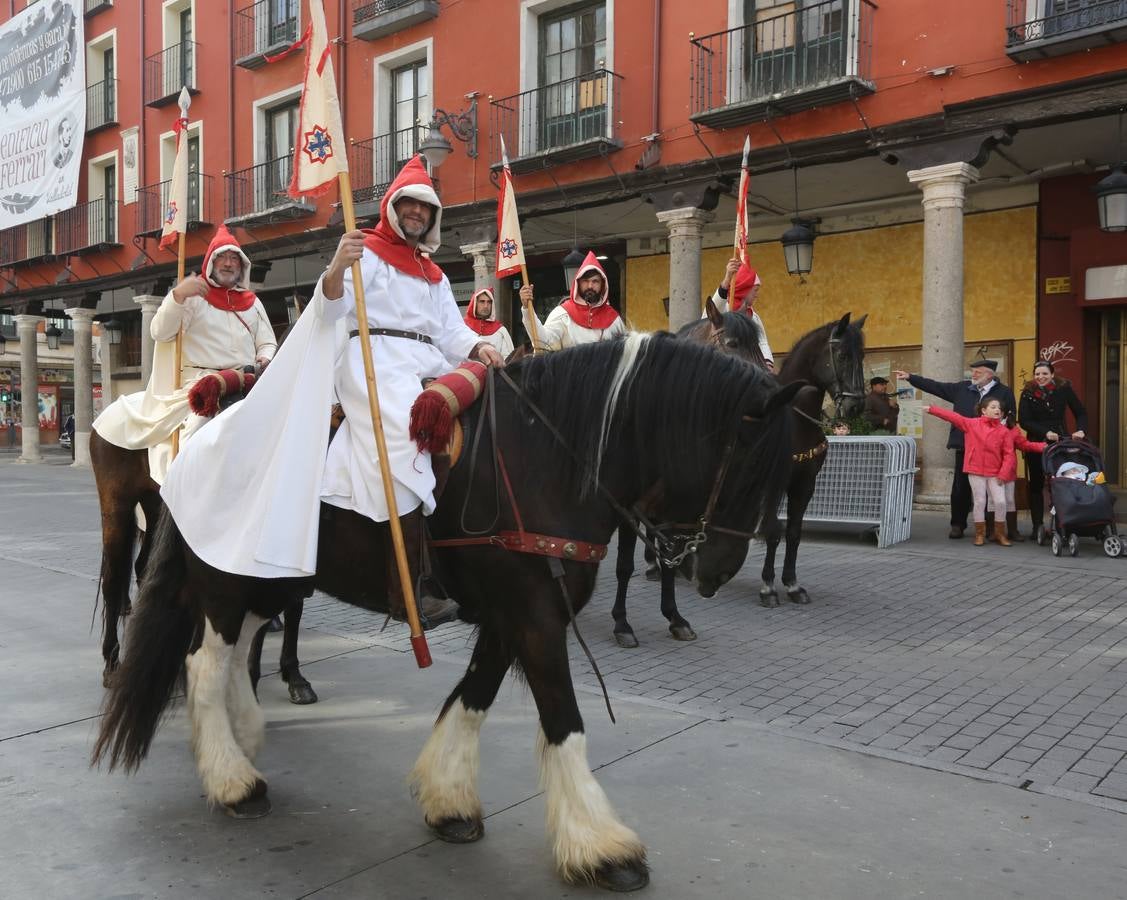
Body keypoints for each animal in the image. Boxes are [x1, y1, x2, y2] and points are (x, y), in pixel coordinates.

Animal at [613, 301, 770, 648]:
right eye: (732, 344)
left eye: (759, 346)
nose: (769, 388)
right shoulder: (626, 511)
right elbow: (624, 566)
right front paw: (622, 624)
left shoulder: (670, 514)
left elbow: (670, 561)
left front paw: (675, 617)